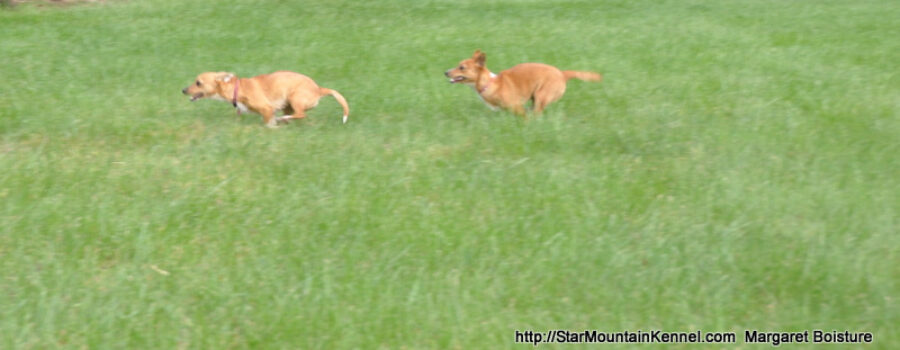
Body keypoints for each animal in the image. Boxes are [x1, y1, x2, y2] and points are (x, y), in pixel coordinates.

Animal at [182, 70, 348, 126]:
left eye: (198, 83)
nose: (183, 90)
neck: (237, 89)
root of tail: (319, 89)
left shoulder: (267, 109)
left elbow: (268, 123)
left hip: (295, 98)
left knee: (301, 114)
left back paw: (284, 119)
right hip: (288, 104)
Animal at [442, 50, 596, 115]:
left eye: (462, 67)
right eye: (458, 65)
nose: (446, 72)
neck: (490, 83)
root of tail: (562, 74)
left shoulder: (517, 108)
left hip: (541, 96)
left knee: (537, 112)